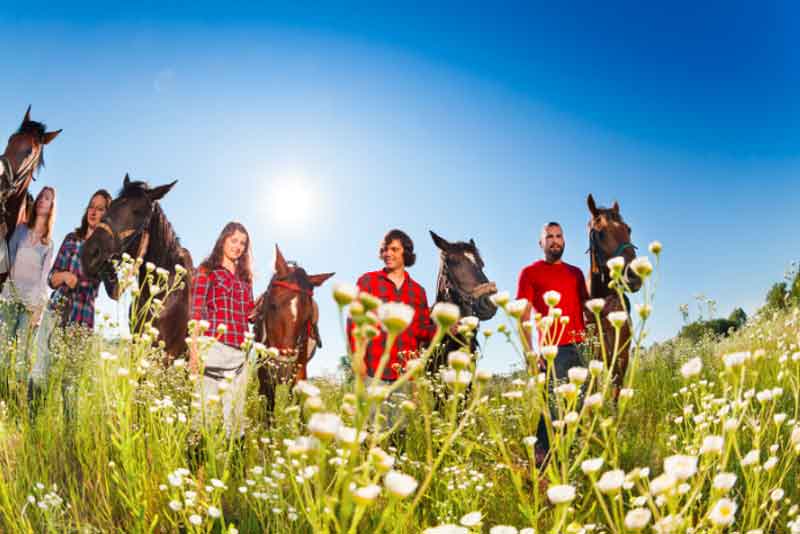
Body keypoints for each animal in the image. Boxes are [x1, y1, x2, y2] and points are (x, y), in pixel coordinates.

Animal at [253, 247, 334, 418]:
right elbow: (268, 402)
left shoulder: (300, 369)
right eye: (272, 305)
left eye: (308, 316)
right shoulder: (265, 369)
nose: (283, 361)